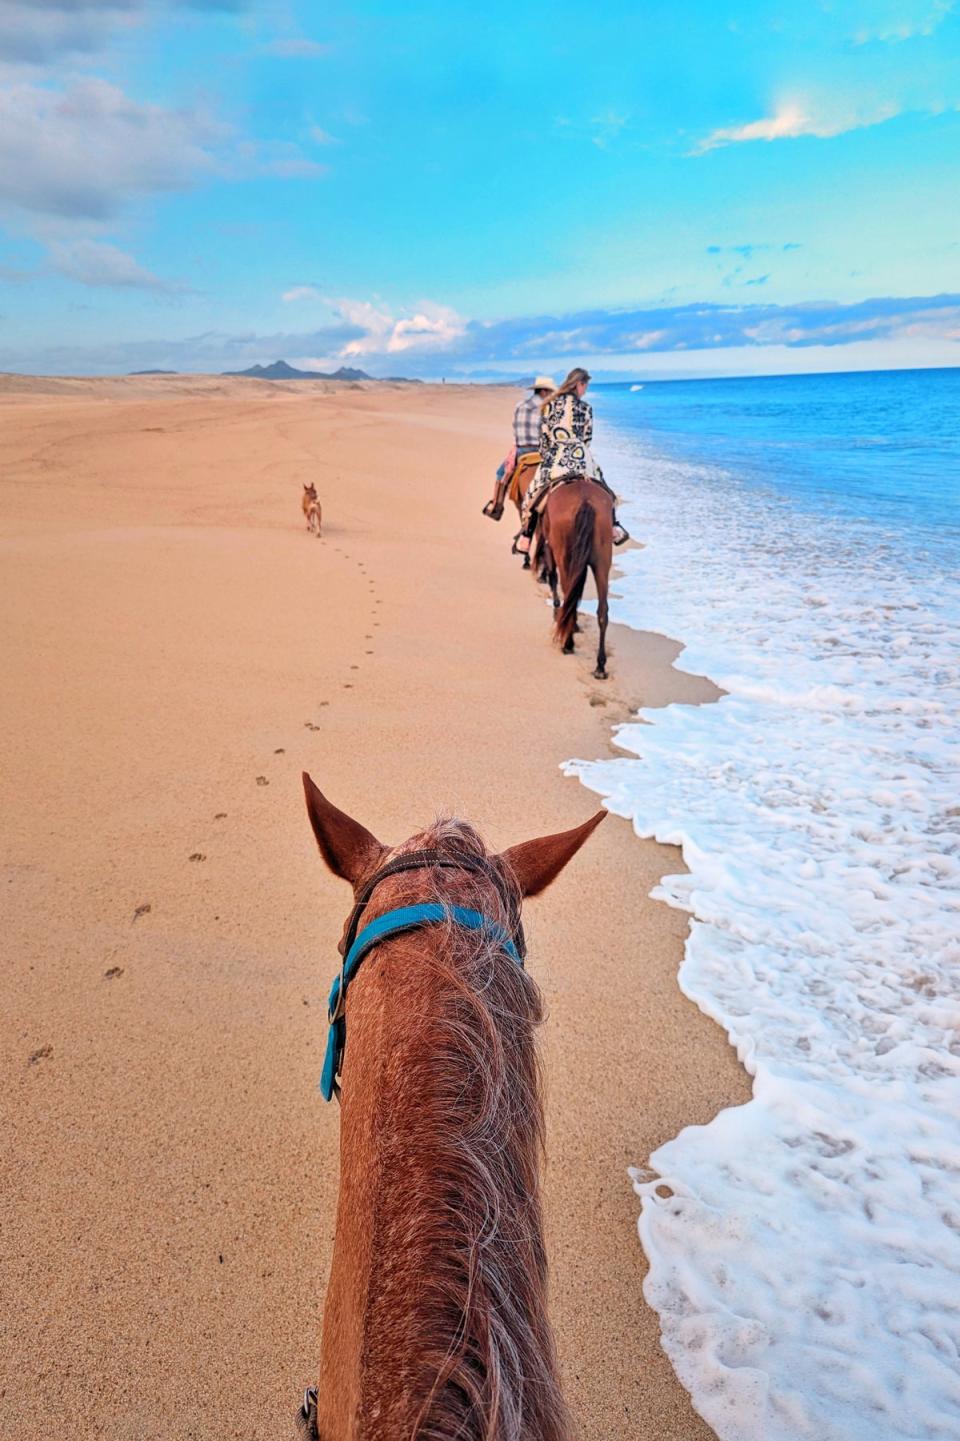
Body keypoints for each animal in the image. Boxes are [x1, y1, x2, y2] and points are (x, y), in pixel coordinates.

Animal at [533, 481, 608, 677]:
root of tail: (584, 501)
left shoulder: (550, 548)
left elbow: (552, 577)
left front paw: (556, 612)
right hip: (602, 562)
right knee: (602, 610)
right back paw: (600, 666)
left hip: (564, 556)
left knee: (569, 599)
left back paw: (567, 643)